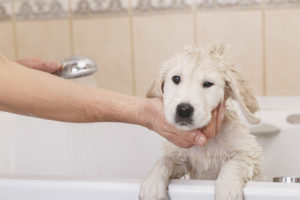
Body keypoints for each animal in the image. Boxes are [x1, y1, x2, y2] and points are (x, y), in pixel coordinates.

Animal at [138, 44, 262, 200]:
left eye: (208, 84)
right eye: (176, 78)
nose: (184, 109)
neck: (205, 143)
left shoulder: (246, 153)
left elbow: (232, 165)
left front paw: (227, 190)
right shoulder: (181, 158)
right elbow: (165, 159)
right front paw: (152, 183)